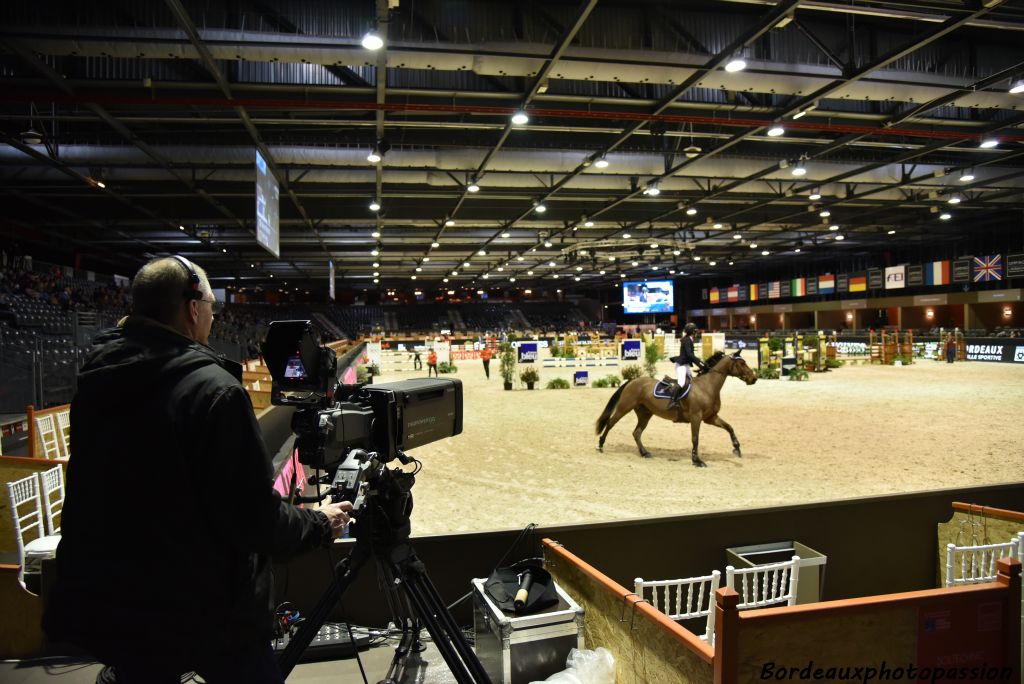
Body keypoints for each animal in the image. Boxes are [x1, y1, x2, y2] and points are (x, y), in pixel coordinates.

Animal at [598, 352, 757, 464]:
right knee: (610, 423)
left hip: (645, 414)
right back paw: (600, 445)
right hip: (624, 408)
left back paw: (644, 453)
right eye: (741, 363)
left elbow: (729, 427)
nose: (753, 378)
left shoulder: (710, 418)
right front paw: (697, 461)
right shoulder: (696, 417)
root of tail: (633, 381)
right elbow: (695, 438)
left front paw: (737, 448)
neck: (707, 387)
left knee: (636, 433)